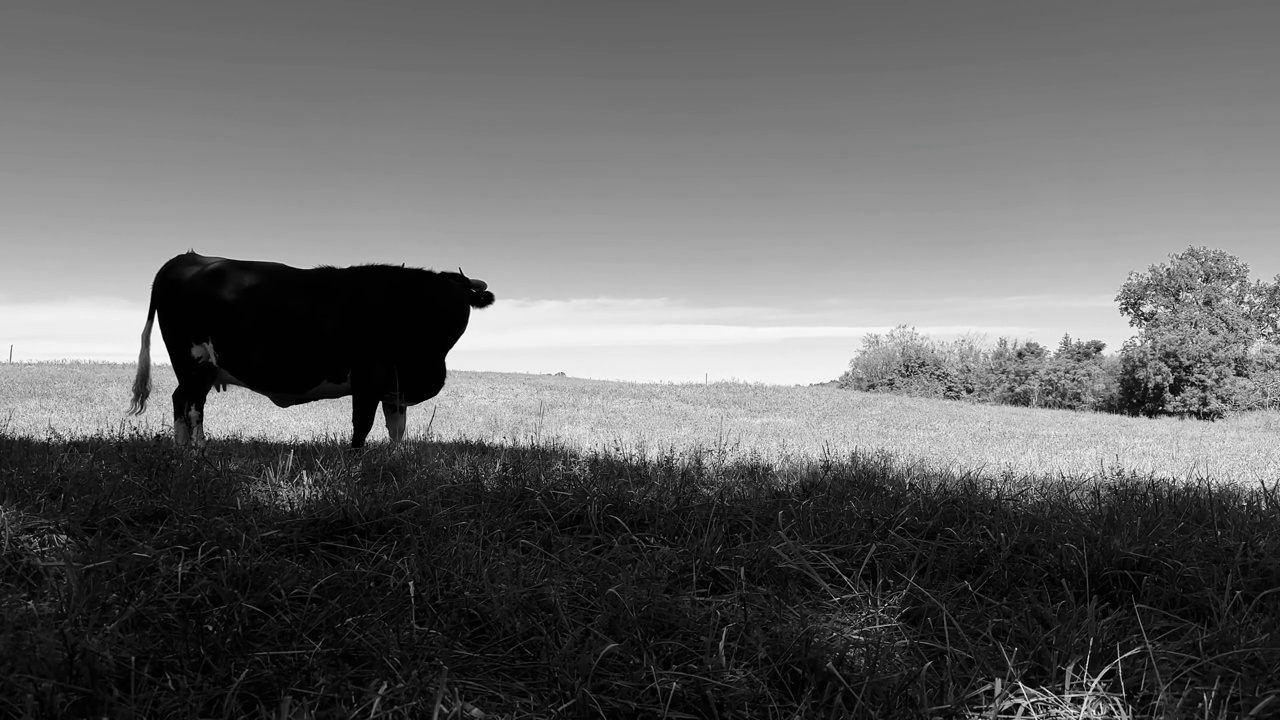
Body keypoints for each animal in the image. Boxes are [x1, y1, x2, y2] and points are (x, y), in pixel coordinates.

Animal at [126, 249, 494, 445]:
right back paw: (197, 453)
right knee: (190, 406)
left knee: (183, 402)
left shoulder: (394, 385)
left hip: (199, 369)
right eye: (431, 298)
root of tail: (189, 257)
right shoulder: (367, 378)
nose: (445, 316)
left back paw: (185, 453)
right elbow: (362, 427)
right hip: (194, 361)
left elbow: (397, 430)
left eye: (459, 299)